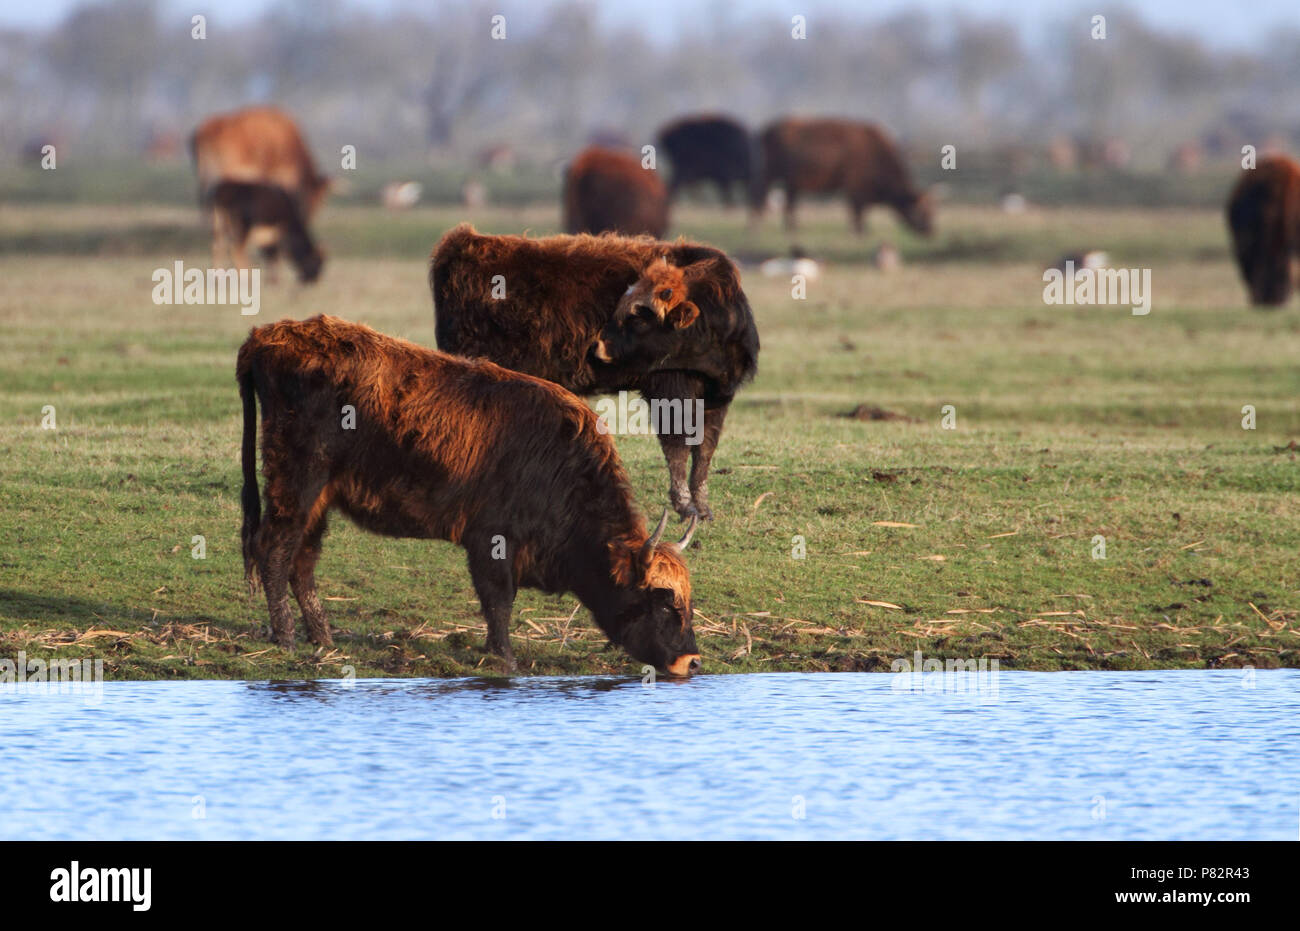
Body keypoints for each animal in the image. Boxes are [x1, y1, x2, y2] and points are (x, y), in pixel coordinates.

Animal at [233, 314, 702, 676]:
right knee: (275, 548)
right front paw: (505, 659)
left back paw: (324, 639)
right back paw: (286, 638)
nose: (692, 661)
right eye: (664, 604)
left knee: (302, 559)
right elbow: (499, 602)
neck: (561, 466)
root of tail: (269, 335)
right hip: (296, 480)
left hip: (318, 496)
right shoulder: (492, 542)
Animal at [431, 222, 759, 520]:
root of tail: (465, 242)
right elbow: (677, 446)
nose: (598, 346)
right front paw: (685, 506)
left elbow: (704, 450)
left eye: (639, 317)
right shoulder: (670, 389)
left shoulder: (717, 397)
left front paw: (702, 509)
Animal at [754, 117, 935, 236]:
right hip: (771, 175)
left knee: (789, 204)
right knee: (763, 196)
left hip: (791, 183)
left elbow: (860, 211)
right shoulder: (855, 187)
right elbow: (857, 210)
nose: (931, 231)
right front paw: (860, 232)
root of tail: (767, 130)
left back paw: (792, 228)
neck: (874, 150)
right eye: (923, 211)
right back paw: (760, 226)